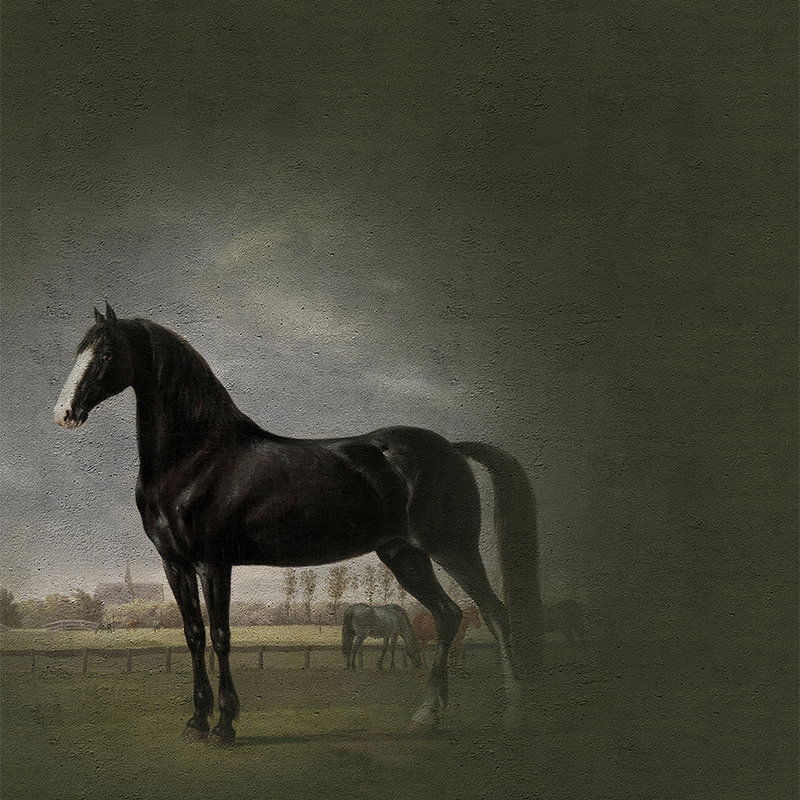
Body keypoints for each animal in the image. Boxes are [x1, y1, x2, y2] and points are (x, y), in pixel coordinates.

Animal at [53, 304, 542, 746]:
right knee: (448, 615)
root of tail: (453, 450)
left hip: (454, 550)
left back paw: (513, 718)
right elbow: (193, 636)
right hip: (404, 555)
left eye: (104, 353)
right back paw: (427, 716)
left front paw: (226, 726)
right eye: (78, 350)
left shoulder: (214, 564)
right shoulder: (176, 565)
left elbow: (221, 636)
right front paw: (197, 722)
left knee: (496, 616)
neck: (197, 459)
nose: (65, 413)